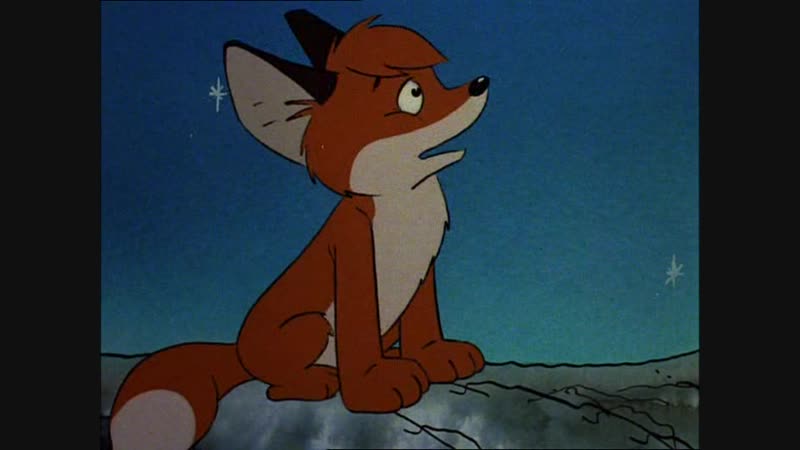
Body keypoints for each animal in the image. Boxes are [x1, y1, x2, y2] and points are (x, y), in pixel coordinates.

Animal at [109, 9, 490, 450]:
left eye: (435, 78)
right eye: (413, 95)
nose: (480, 83)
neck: (402, 203)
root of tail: (238, 351)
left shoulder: (423, 264)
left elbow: (424, 321)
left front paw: (435, 356)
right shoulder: (355, 258)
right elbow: (358, 335)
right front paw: (372, 388)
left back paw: (392, 357)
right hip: (311, 327)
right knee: (278, 387)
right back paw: (319, 380)